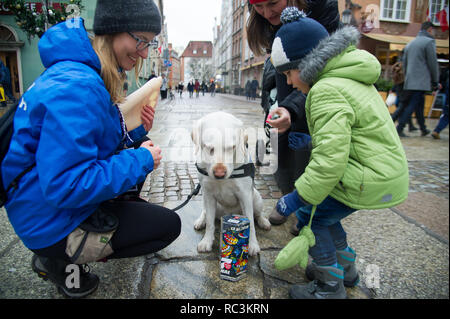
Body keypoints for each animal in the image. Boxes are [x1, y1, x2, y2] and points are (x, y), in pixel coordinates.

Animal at [191, 111, 270, 256]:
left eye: (231, 147)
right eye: (208, 147)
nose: (219, 174)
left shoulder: (245, 195)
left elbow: (251, 222)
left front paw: (252, 244)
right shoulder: (208, 194)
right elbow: (210, 222)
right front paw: (207, 241)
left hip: (256, 197)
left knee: (257, 214)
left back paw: (263, 221)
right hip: (206, 198)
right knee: (205, 212)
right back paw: (201, 221)